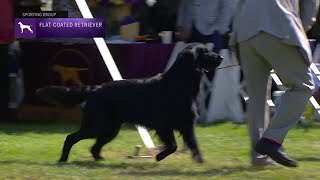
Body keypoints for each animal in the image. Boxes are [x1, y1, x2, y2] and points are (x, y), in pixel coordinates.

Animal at [36, 44, 222, 163]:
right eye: (205, 52)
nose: (221, 56)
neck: (179, 81)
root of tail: (96, 89)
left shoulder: (183, 125)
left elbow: (190, 145)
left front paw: (199, 161)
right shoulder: (168, 125)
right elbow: (175, 146)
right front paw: (159, 157)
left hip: (110, 129)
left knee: (95, 147)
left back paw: (99, 160)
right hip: (96, 125)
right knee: (71, 138)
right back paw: (63, 159)